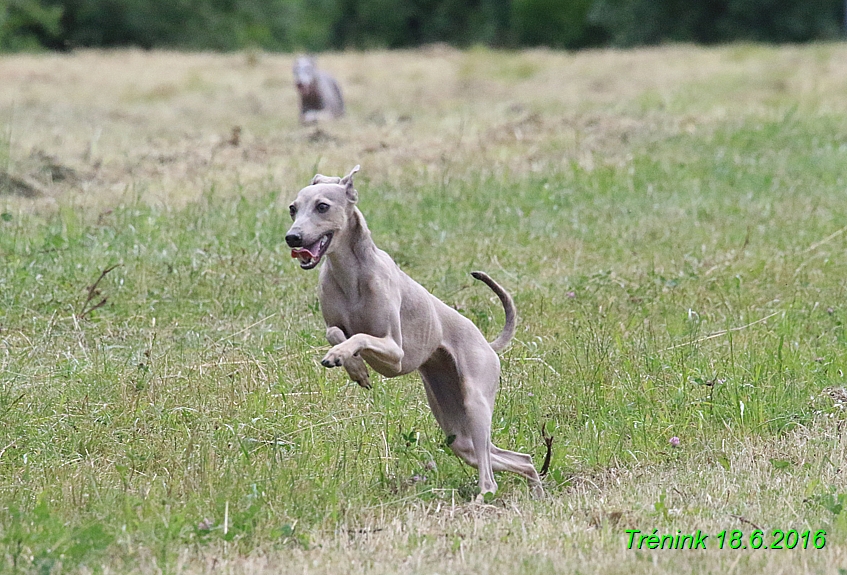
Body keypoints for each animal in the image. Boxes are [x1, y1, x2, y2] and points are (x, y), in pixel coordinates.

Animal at [284, 166, 544, 500]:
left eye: (322, 206)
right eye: (293, 208)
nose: (292, 237)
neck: (351, 274)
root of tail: (487, 343)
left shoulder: (395, 354)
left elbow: (360, 337)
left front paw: (348, 358)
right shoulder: (343, 327)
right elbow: (335, 332)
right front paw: (354, 366)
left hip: (475, 403)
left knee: (490, 476)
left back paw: (484, 497)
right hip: (457, 431)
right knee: (520, 459)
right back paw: (536, 491)